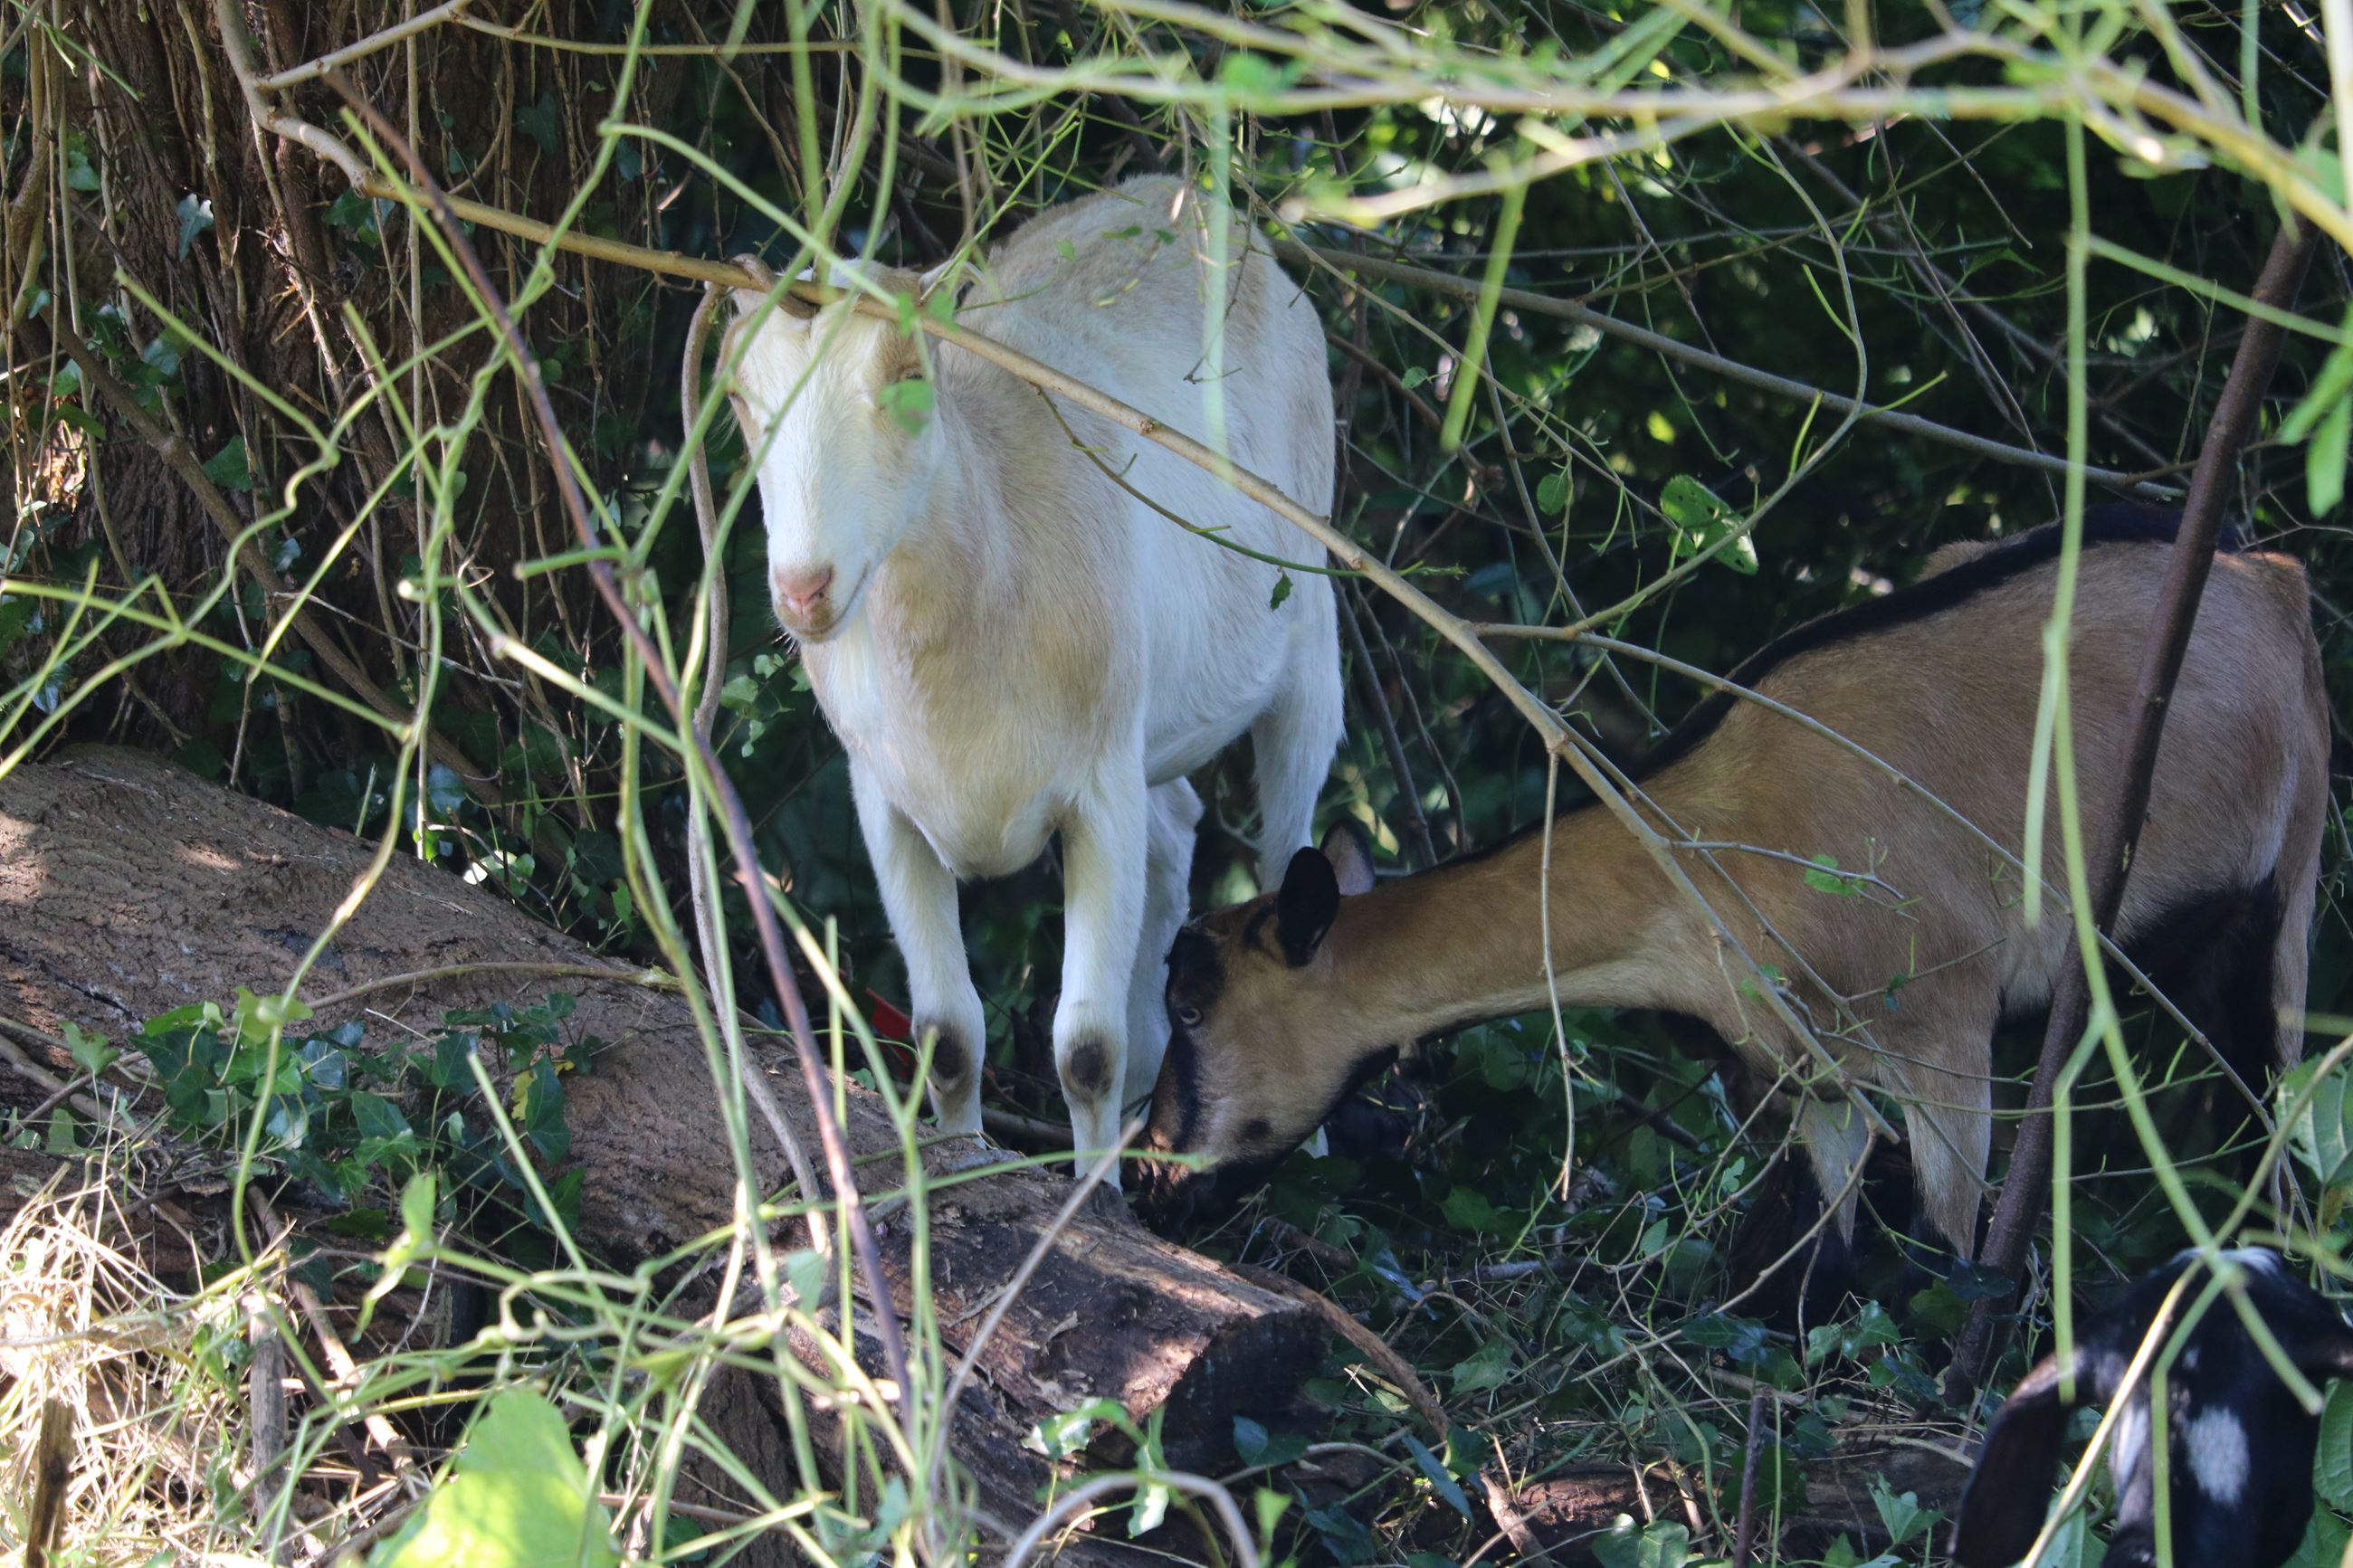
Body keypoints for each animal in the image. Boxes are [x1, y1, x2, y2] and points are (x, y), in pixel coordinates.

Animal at [723, 176, 1343, 1171]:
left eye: (906, 378)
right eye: (741, 397)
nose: (804, 590)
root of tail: (1185, 196)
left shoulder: (1096, 791)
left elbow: (1084, 1047)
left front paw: (1097, 1196)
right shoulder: (884, 799)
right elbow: (945, 1033)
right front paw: (965, 1154)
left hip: (1307, 636)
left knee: (1292, 853)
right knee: (1176, 833)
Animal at [1134, 510, 2327, 1241]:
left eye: (1189, 1006)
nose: (1145, 1177)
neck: (1701, 846)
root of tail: (2269, 575)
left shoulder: (1942, 1031)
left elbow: (1945, 1250)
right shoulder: (1796, 1073)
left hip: (2282, 897)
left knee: (2274, 1146)